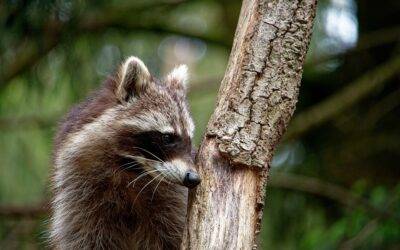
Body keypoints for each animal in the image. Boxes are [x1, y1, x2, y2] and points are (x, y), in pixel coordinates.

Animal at [50, 57, 200, 250]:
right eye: (167, 137)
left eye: (189, 139)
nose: (194, 178)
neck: (131, 170)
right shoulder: (79, 196)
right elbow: (83, 237)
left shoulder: (172, 201)